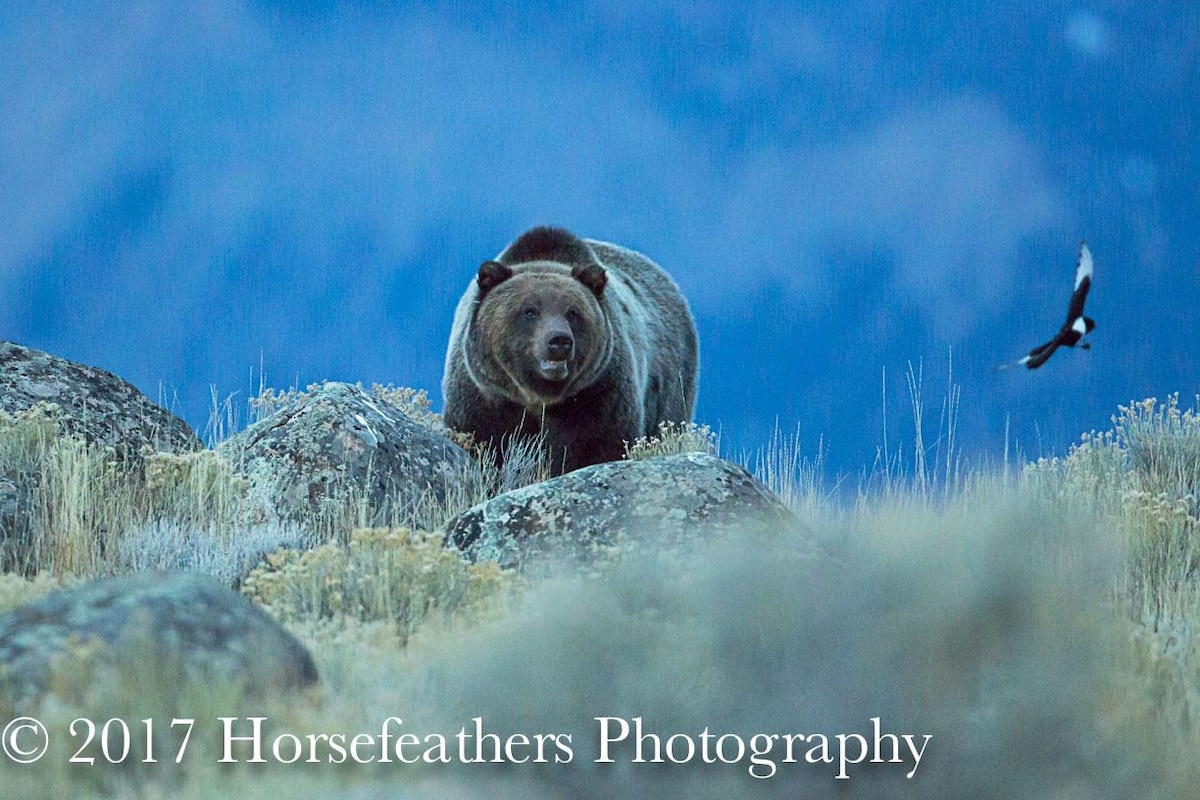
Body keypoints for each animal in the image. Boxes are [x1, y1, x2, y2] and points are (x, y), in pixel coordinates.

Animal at [446, 226, 700, 474]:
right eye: (529, 311)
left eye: (572, 312)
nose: (559, 340)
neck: (538, 399)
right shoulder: (486, 399)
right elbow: (488, 443)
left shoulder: (598, 395)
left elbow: (597, 446)